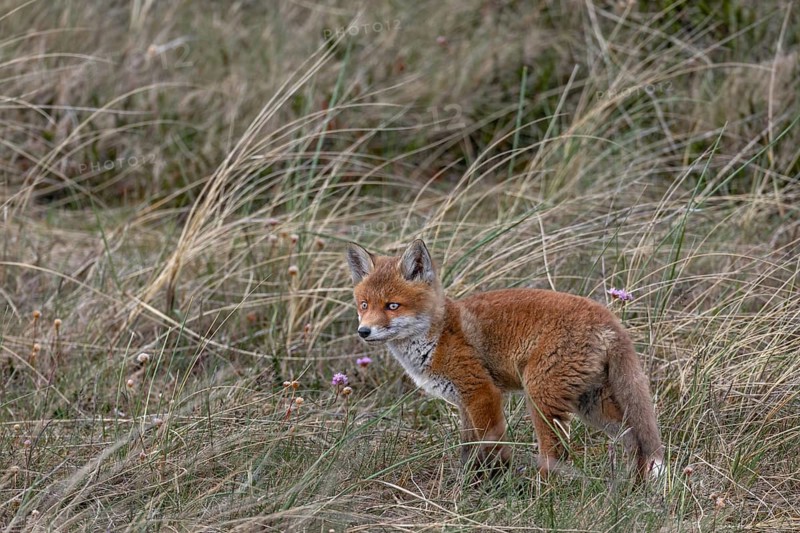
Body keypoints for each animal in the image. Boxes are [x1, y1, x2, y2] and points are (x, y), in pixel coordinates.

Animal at [345, 239, 664, 480]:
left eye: (392, 306)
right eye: (364, 305)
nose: (363, 331)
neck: (437, 335)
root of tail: (607, 317)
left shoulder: (482, 392)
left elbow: (492, 446)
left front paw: (494, 482)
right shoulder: (464, 402)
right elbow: (468, 450)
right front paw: (466, 483)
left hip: (542, 398)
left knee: (556, 452)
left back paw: (541, 496)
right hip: (591, 403)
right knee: (635, 440)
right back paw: (631, 491)